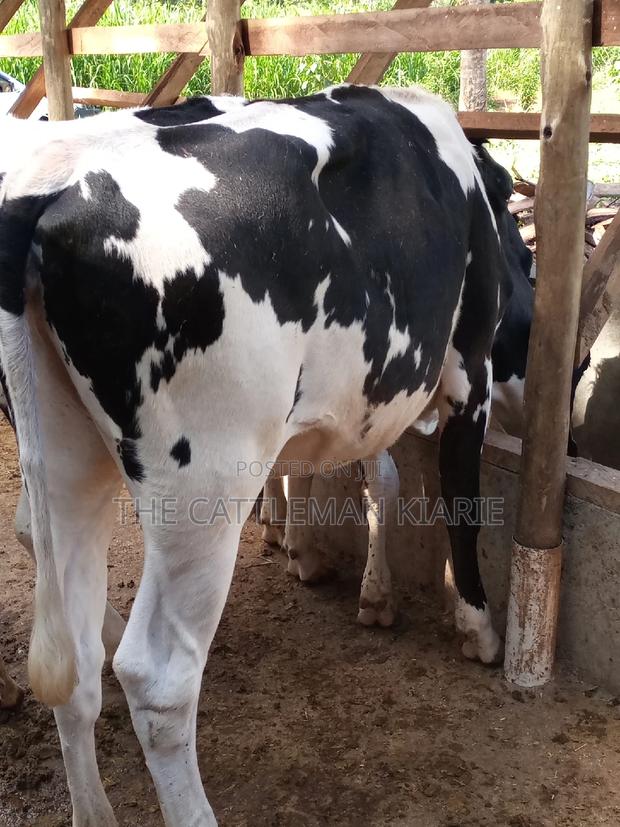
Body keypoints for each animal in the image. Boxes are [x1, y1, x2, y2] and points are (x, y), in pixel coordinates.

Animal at [0, 84, 528, 825]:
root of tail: (44, 191)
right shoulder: (466, 368)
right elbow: (458, 503)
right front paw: (477, 627)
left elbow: (368, 475)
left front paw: (341, 574)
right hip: (206, 480)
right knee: (157, 679)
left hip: (66, 458)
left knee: (71, 660)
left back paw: (94, 809)